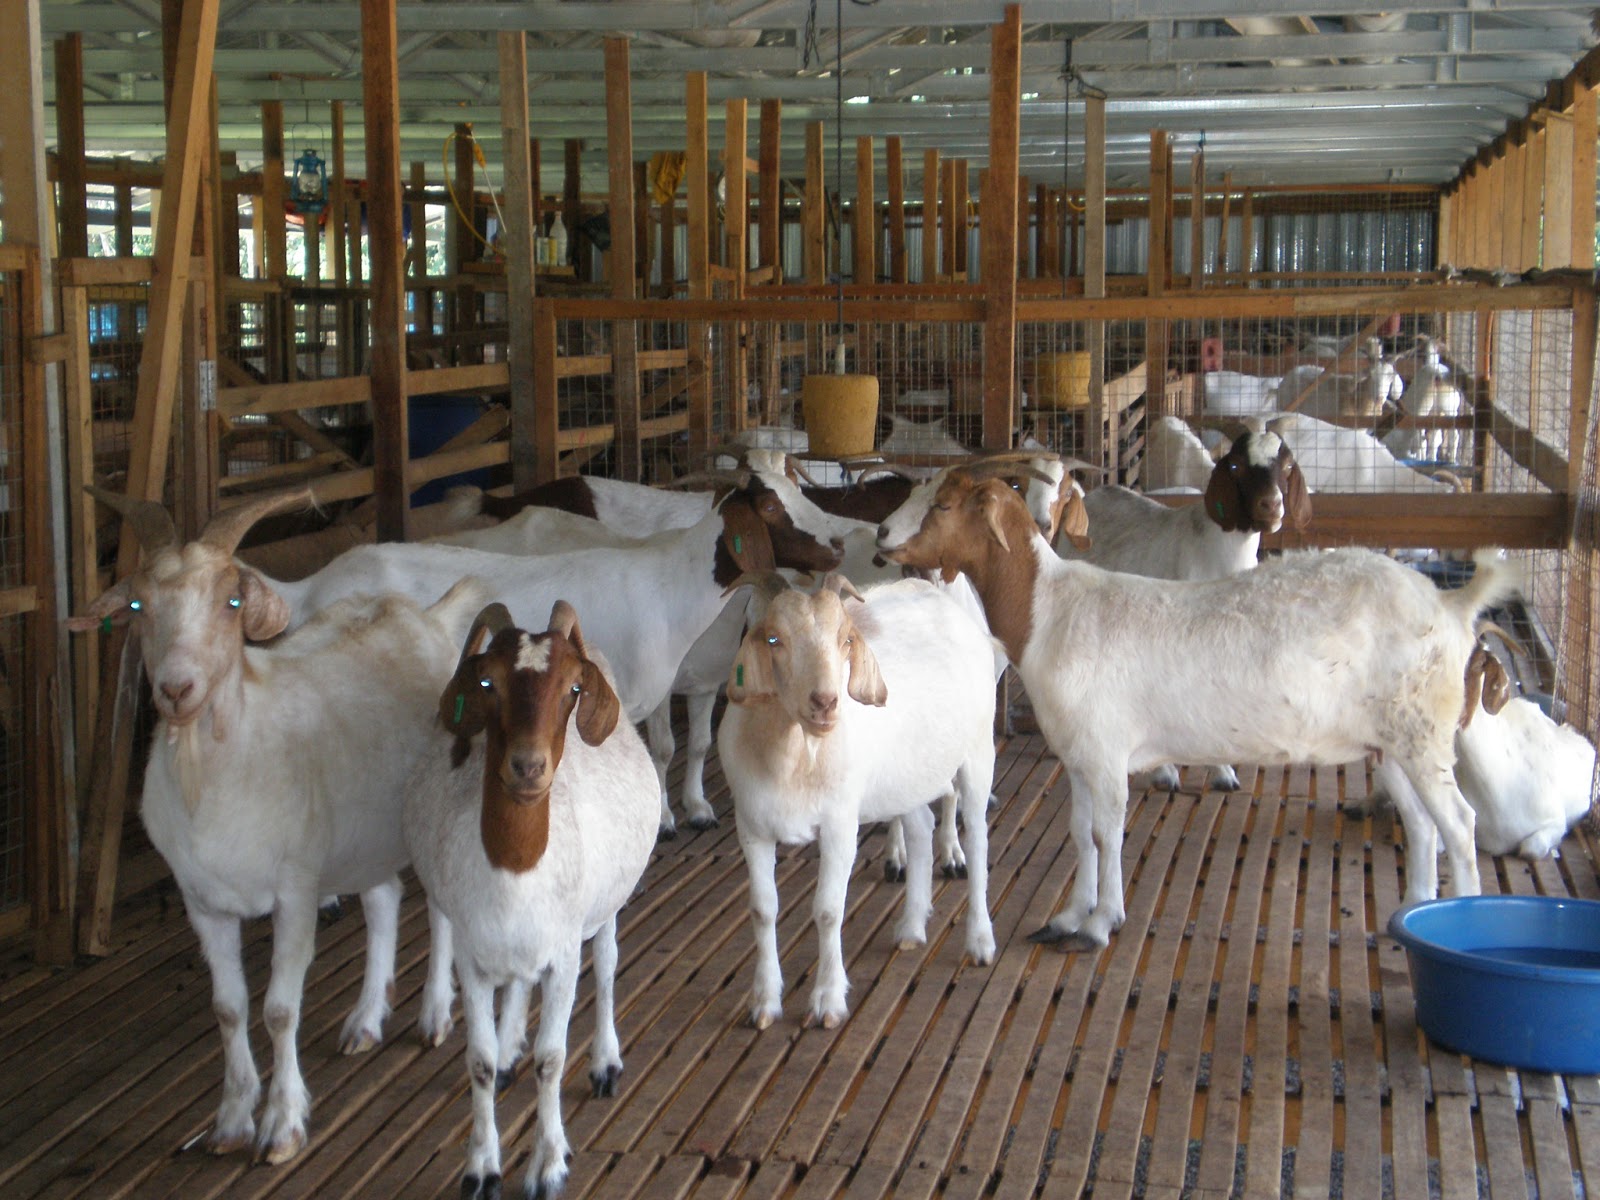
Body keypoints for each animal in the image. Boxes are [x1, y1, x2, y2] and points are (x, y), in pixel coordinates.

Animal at [403, 604, 659, 1200]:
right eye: (487, 682)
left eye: (572, 688)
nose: (527, 767)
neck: (514, 873)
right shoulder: (473, 956)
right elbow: (477, 1061)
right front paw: (481, 1167)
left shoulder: (563, 955)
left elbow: (551, 1059)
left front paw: (548, 1165)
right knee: (517, 986)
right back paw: (509, 1049)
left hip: (605, 909)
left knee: (607, 969)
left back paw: (605, 1062)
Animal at [726, 579, 998, 1030]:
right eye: (774, 639)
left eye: (846, 640)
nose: (825, 702)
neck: (794, 757)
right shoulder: (752, 826)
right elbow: (762, 910)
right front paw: (763, 1002)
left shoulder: (839, 824)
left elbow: (827, 911)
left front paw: (828, 1001)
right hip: (906, 776)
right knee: (921, 828)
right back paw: (911, 927)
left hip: (978, 749)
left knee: (977, 839)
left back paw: (979, 941)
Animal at [883, 467, 1516, 947]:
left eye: (942, 505)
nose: (884, 533)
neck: (1049, 609)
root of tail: (1451, 605)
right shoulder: (1080, 754)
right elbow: (1082, 831)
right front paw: (1069, 916)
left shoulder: (1107, 754)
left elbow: (1109, 832)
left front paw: (1101, 921)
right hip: (1394, 743)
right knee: (1422, 824)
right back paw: (1409, 916)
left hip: (1424, 735)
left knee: (1459, 824)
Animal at [1056, 428, 1305, 793]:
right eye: (1235, 465)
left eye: (1287, 465)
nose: (1271, 505)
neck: (1218, 550)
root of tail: (1094, 495)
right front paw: (1182, 772)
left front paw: (1223, 773)